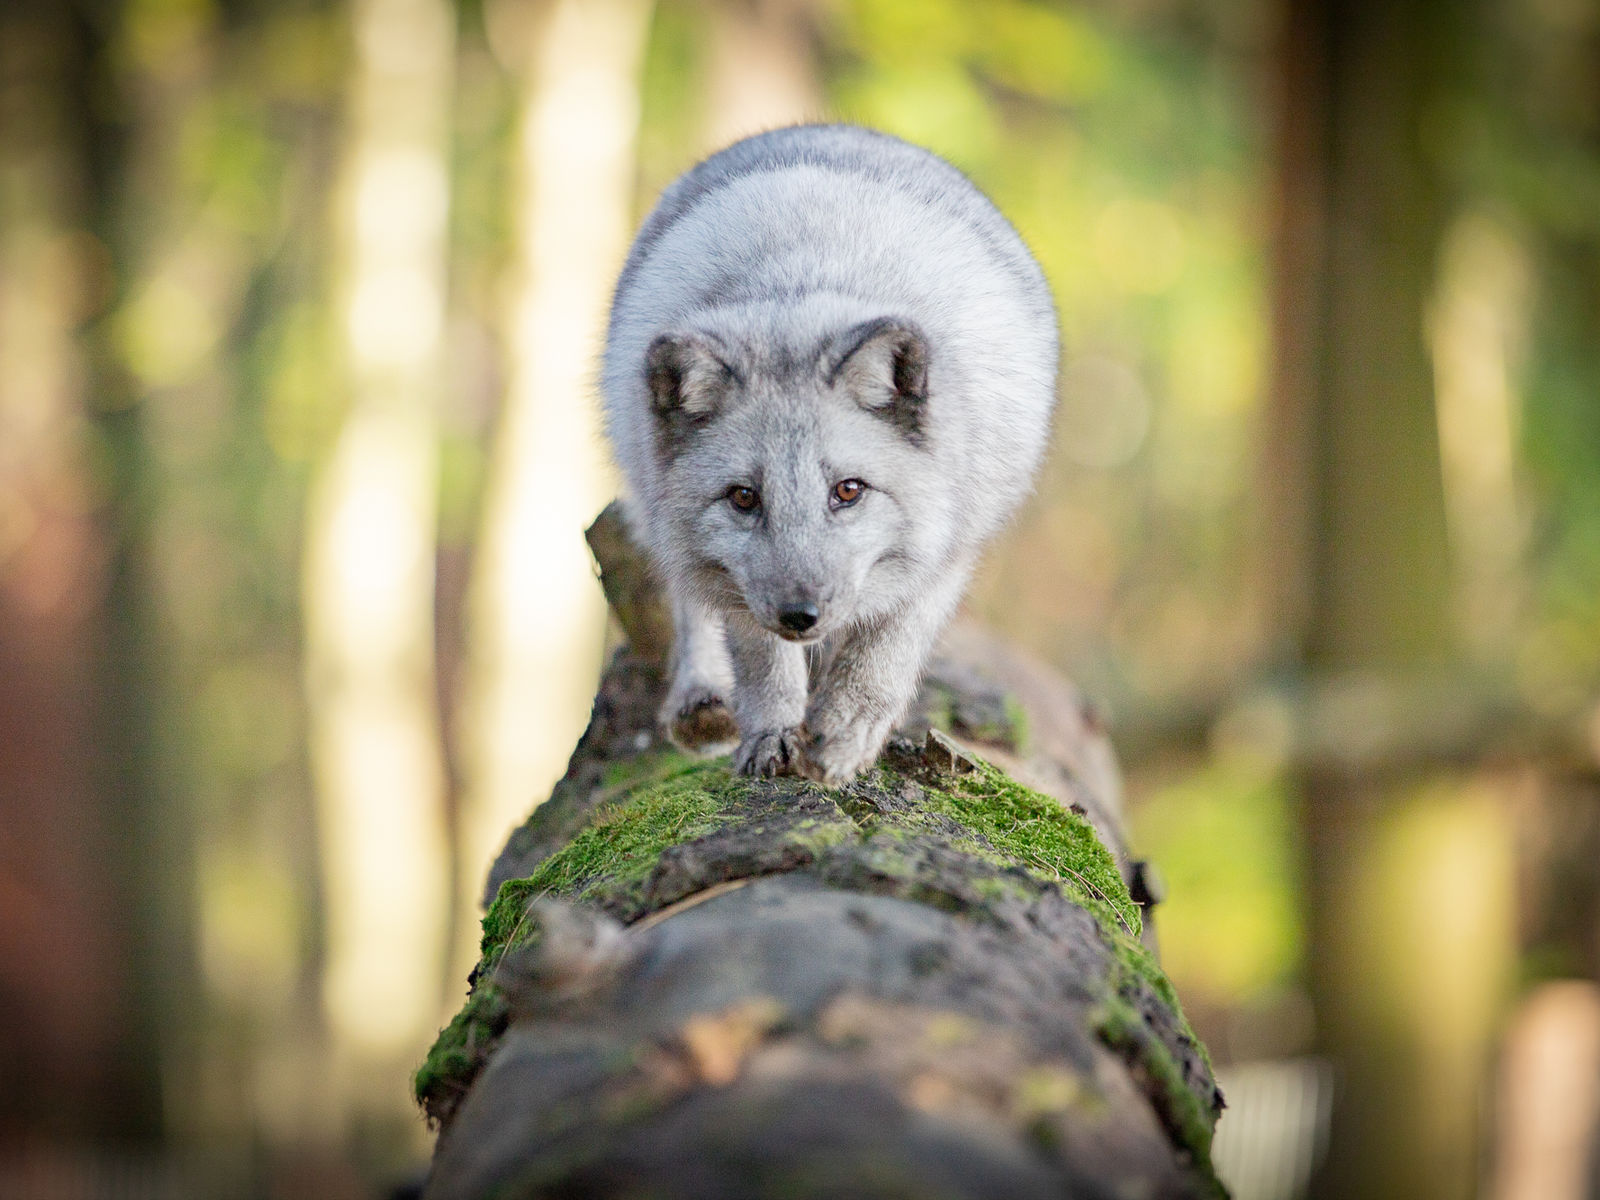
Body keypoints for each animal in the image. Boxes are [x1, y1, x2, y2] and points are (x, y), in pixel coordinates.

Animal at [598, 124, 1049, 790]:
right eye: (744, 497)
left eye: (849, 490)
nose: (800, 615)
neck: (802, 288)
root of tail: (830, 130)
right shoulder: (745, 589)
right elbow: (760, 659)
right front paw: (772, 733)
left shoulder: (947, 550)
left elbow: (883, 655)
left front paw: (845, 732)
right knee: (689, 602)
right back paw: (702, 701)